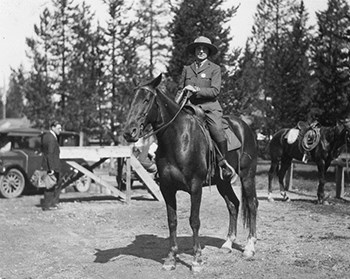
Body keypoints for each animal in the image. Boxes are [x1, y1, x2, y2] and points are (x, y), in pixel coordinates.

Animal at [123, 75, 258, 274]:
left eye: (147, 100)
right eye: (131, 100)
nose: (128, 132)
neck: (178, 139)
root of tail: (244, 126)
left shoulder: (195, 187)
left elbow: (194, 221)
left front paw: (196, 260)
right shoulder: (167, 189)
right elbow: (172, 221)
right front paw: (171, 258)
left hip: (247, 176)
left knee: (252, 204)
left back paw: (249, 247)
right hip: (222, 182)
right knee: (233, 205)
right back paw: (228, 243)